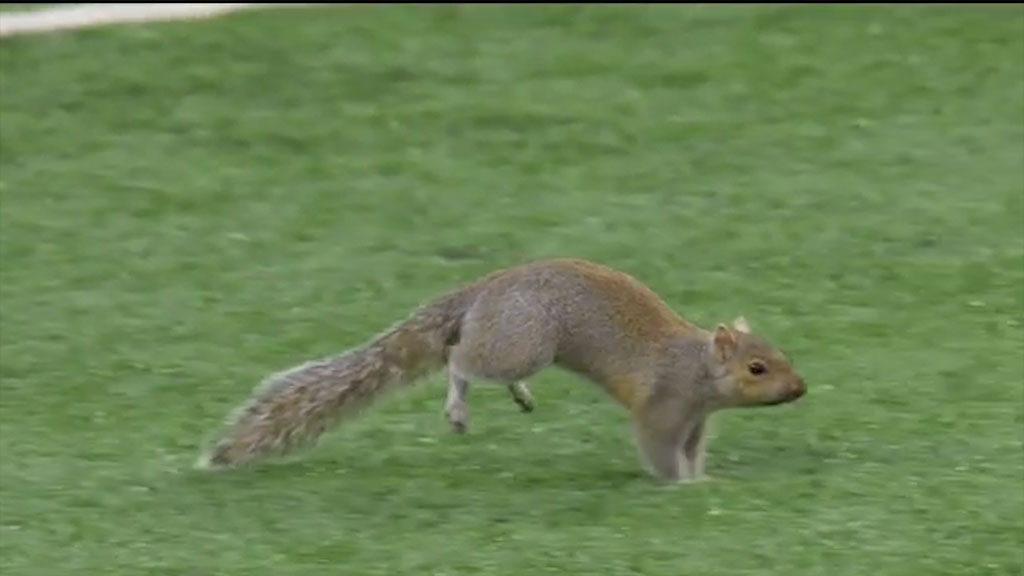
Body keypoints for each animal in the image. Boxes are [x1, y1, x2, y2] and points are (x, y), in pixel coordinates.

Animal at [195, 256, 806, 479]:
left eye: (783, 356)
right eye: (756, 368)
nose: (800, 388)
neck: (697, 369)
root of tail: (482, 291)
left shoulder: (695, 418)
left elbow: (693, 448)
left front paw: (700, 477)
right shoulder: (662, 405)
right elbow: (658, 448)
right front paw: (683, 487)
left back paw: (520, 394)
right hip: (522, 341)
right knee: (458, 358)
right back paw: (458, 405)